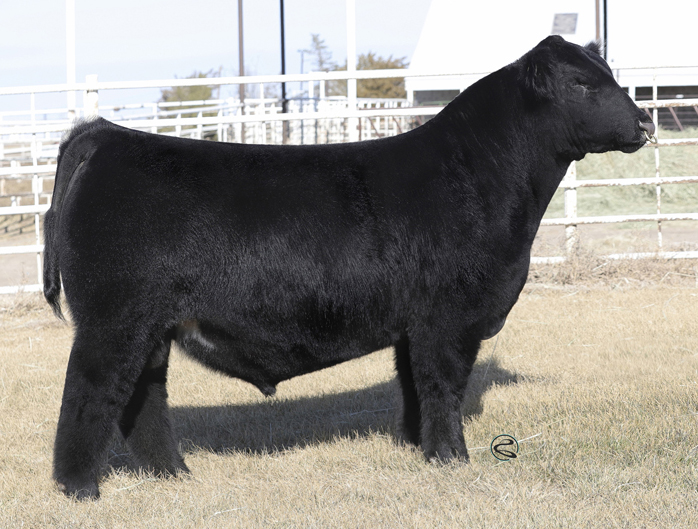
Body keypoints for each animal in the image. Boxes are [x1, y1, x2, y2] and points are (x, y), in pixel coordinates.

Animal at [44, 36, 655, 499]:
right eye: (581, 83)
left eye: (609, 74)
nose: (646, 120)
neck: (480, 175)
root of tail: (106, 136)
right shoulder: (449, 318)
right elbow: (444, 387)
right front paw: (453, 459)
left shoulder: (415, 325)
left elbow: (414, 387)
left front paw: (417, 448)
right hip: (114, 320)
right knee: (89, 393)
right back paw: (80, 488)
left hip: (152, 327)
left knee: (142, 398)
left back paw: (173, 474)